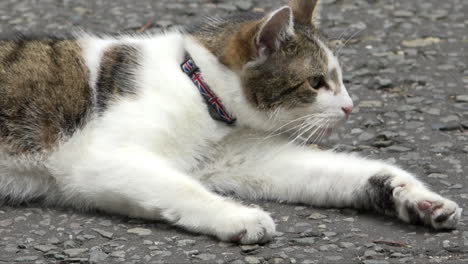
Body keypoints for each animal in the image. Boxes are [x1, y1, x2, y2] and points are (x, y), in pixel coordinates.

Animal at [0, 0, 460, 244]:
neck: (199, 90)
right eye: (317, 82)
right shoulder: (97, 159)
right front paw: (238, 217)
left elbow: (354, 173)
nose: (350, 107)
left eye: (342, 79)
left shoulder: (242, 159)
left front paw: (414, 197)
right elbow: (180, 186)